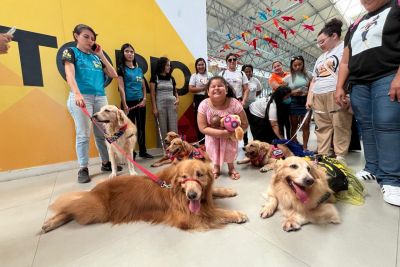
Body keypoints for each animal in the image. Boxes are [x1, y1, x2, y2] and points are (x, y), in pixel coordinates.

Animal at [41, 160, 247, 233]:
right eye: (183, 177)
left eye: (200, 174)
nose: (192, 195)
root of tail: (96, 189)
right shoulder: (188, 216)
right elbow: (215, 213)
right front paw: (237, 214)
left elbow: (214, 191)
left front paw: (228, 191)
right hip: (96, 210)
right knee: (71, 208)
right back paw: (50, 222)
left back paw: (49, 223)